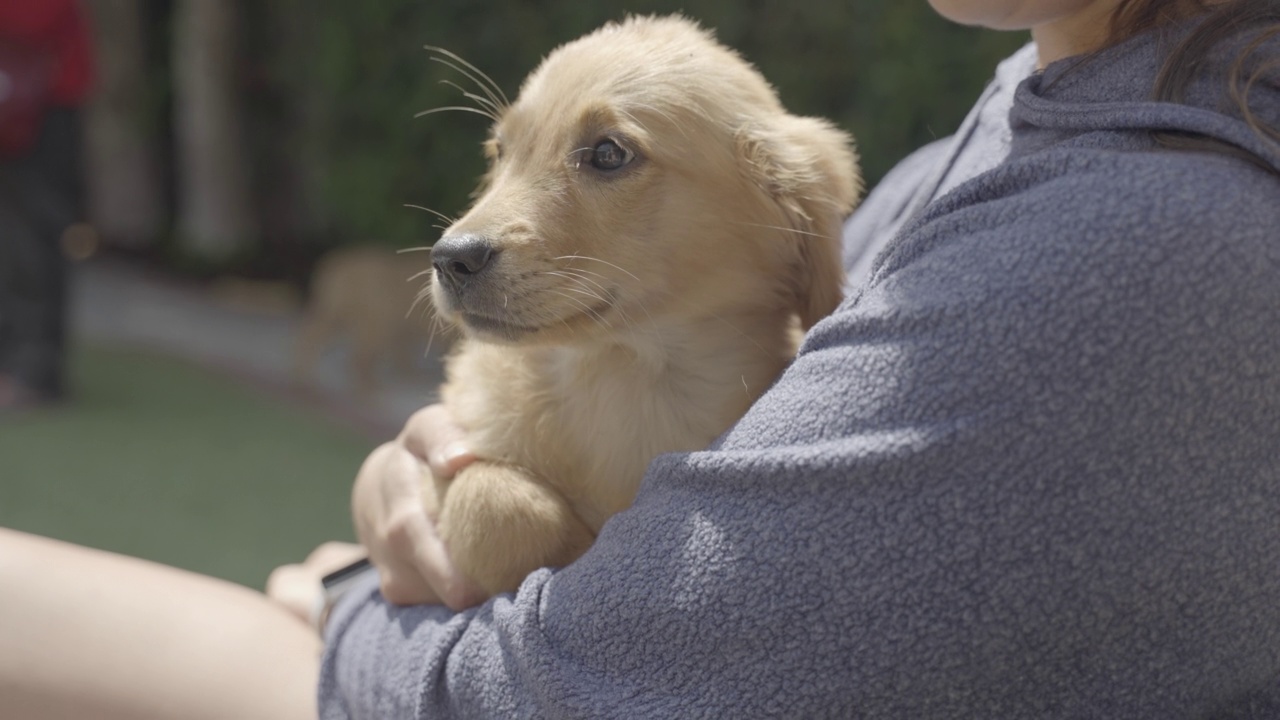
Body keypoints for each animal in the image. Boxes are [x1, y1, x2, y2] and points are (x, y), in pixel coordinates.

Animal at [427, 15, 860, 594]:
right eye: (500, 152)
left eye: (609, 153)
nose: (450, 258)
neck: (628, 373)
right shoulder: (451, 449)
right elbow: (495, 505)